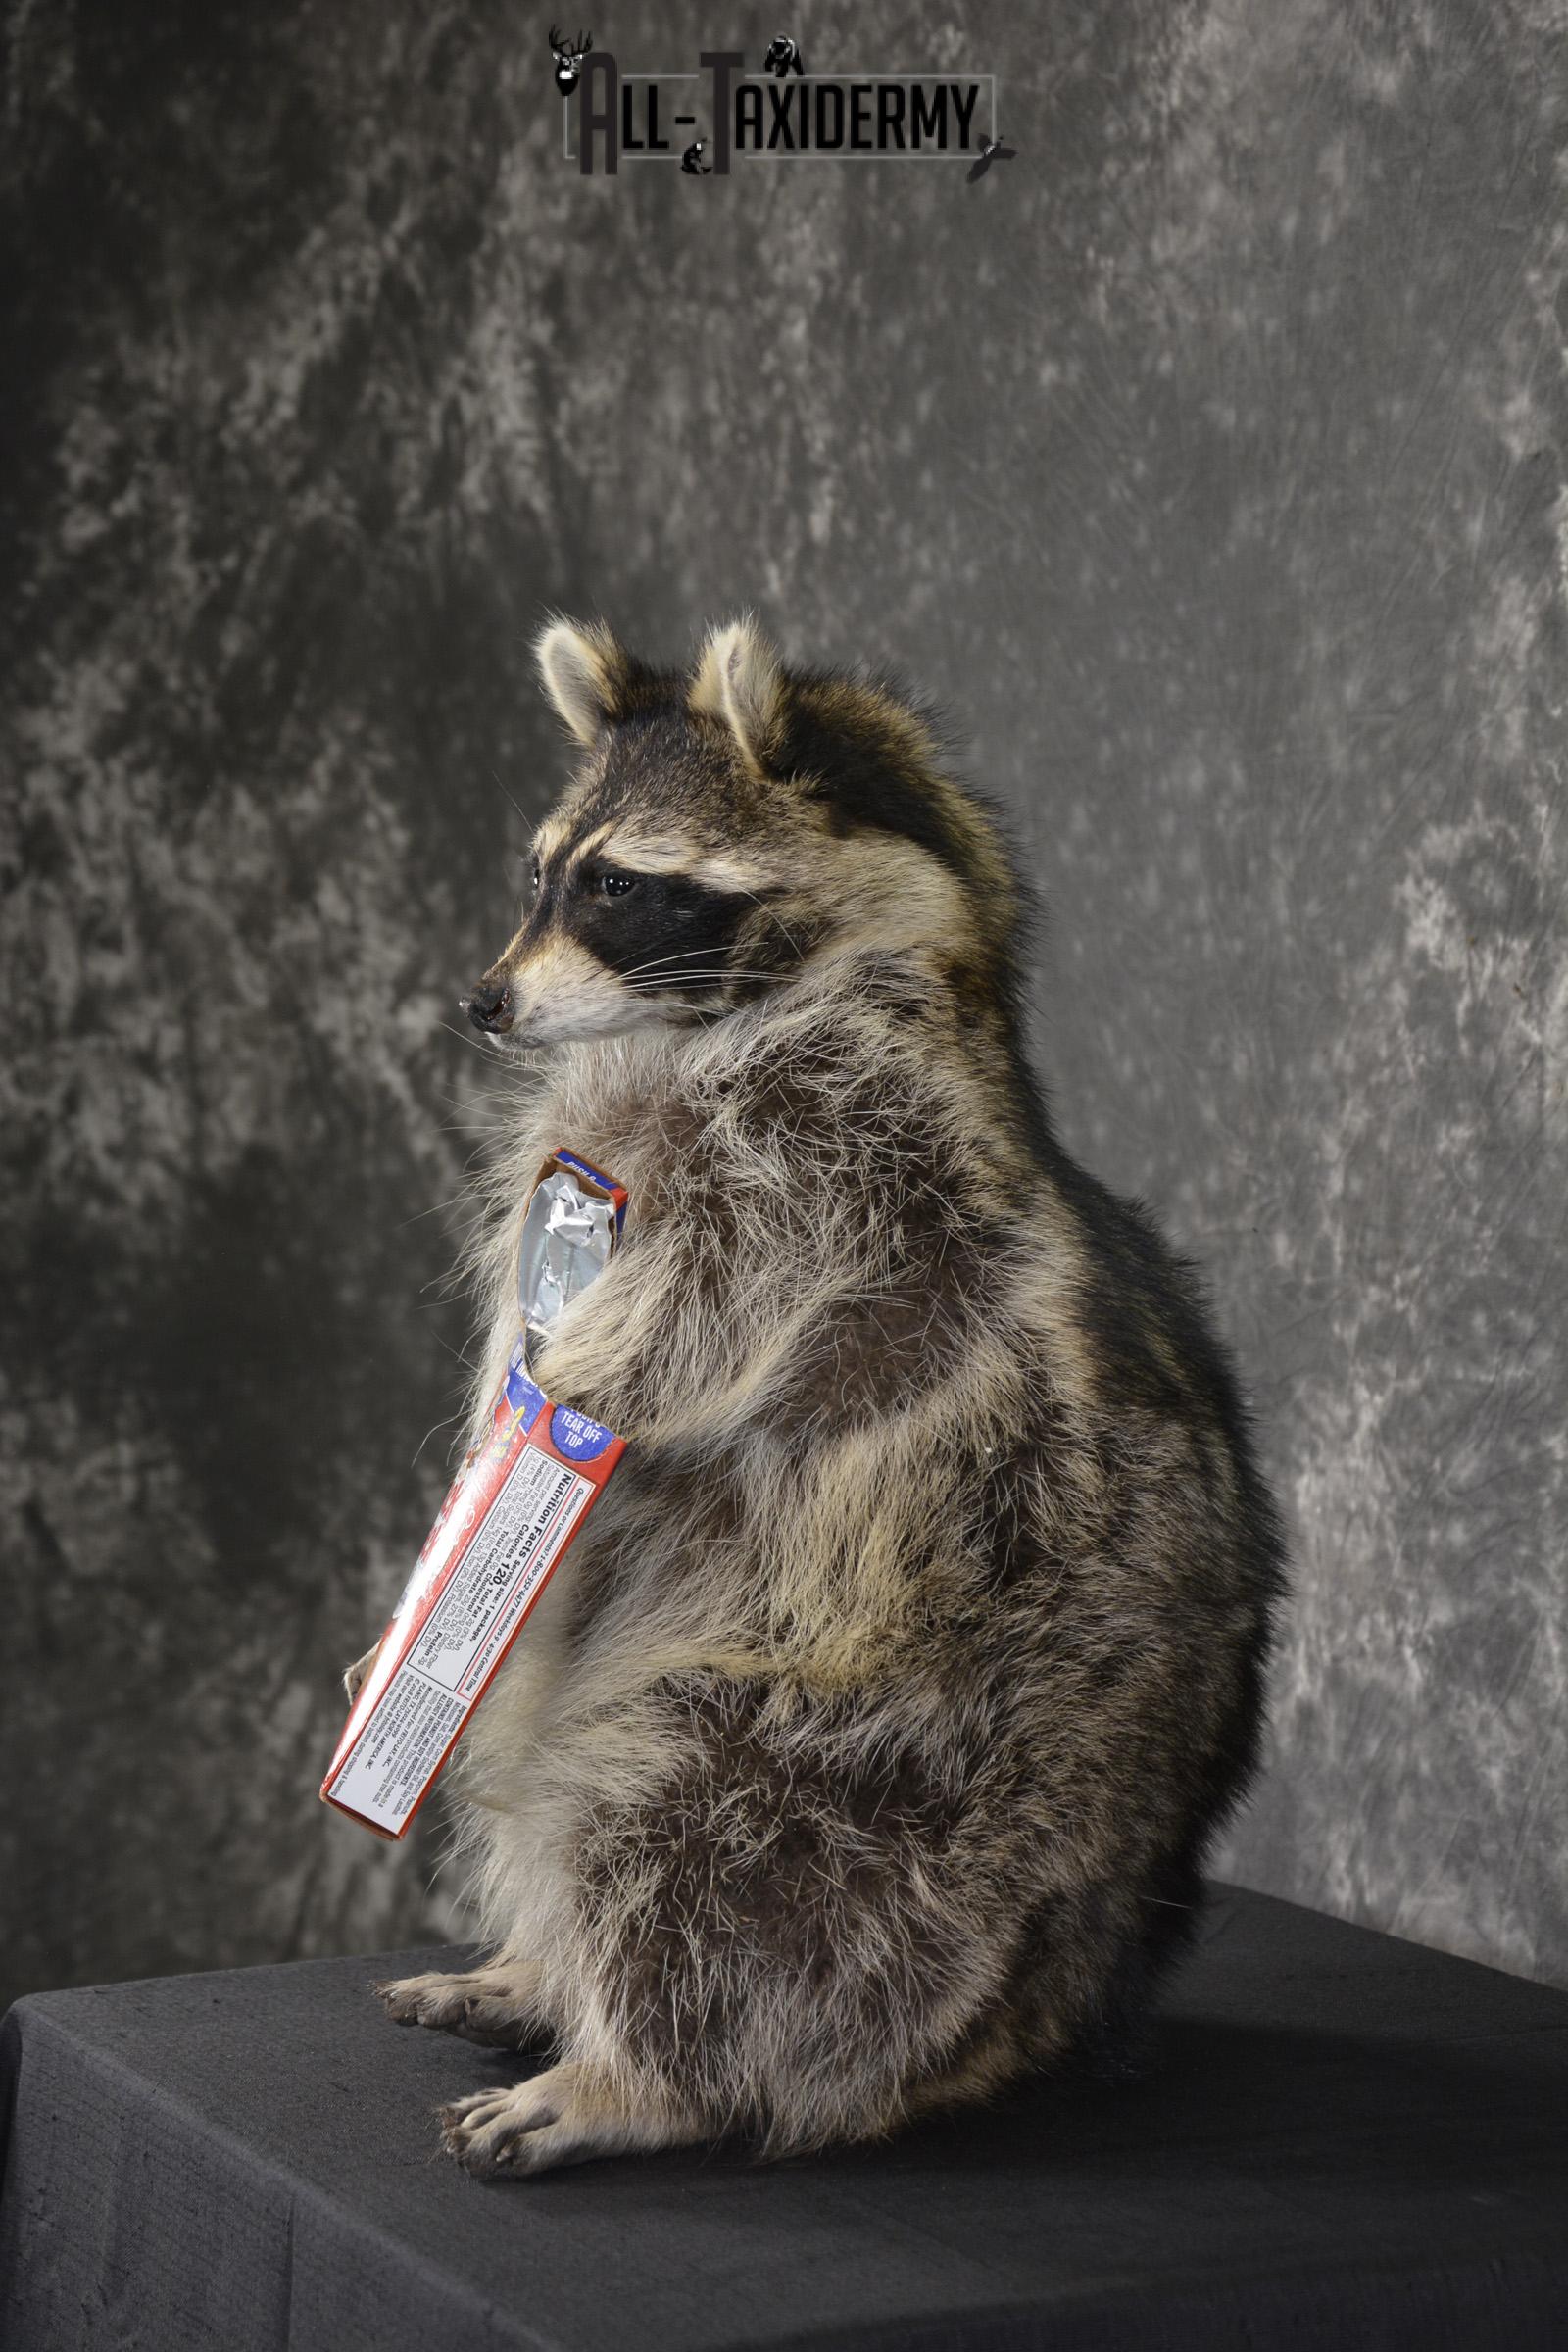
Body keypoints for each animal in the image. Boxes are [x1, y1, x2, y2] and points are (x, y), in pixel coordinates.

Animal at [376, 617, 1284, 2178]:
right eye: (540, 872)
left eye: (617, 884)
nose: (482, 1003)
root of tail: (1049, 1998)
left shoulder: (850, 1162)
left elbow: (692, 1323)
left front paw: (551, 1408)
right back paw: (544, 1968)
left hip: (893, 1763)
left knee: (686, 1842)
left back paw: (630, 2067)